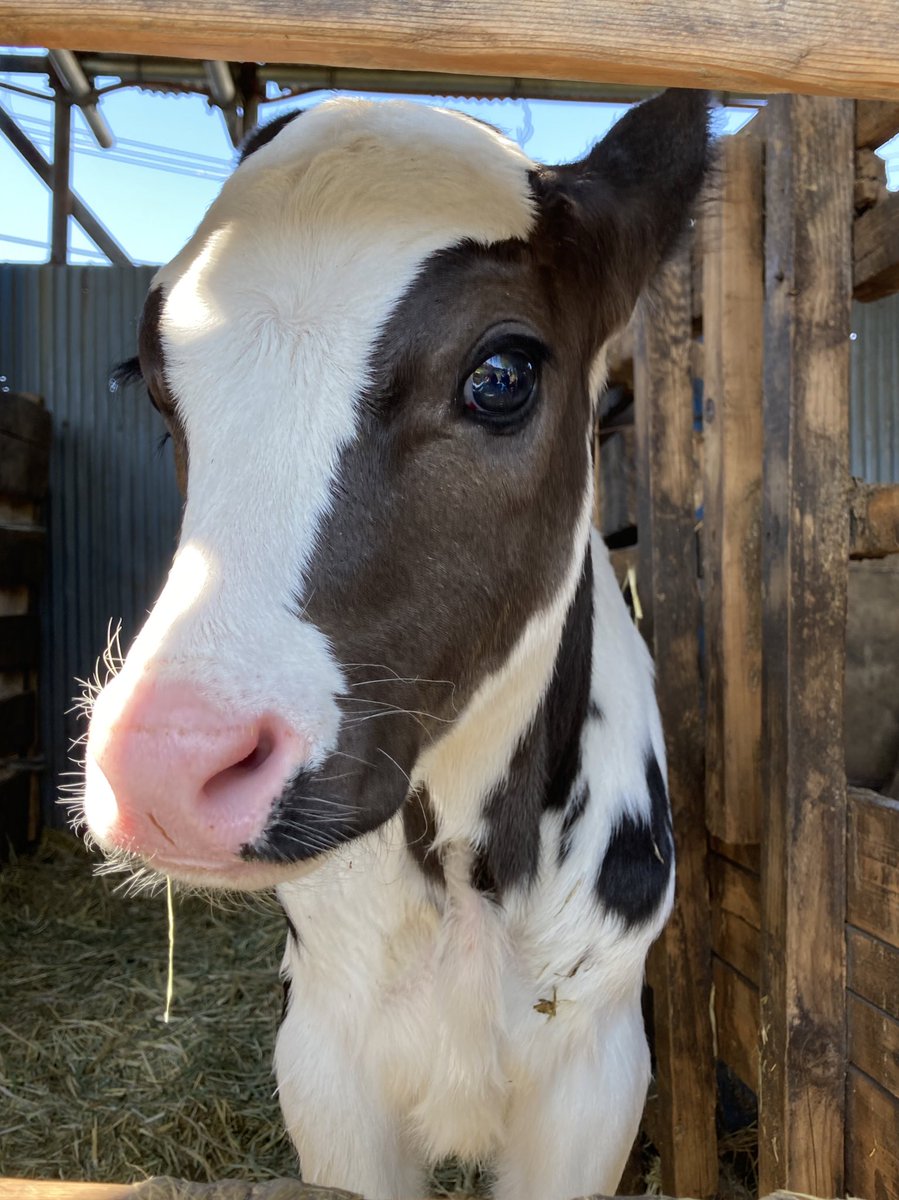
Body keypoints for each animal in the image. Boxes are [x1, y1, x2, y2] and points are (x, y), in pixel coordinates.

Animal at [84, 91, 710, 1200]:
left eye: (500, 374)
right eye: (158, 389)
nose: (162, 766)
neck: (466, 876)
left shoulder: (594, 1078)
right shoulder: (323, 1066)